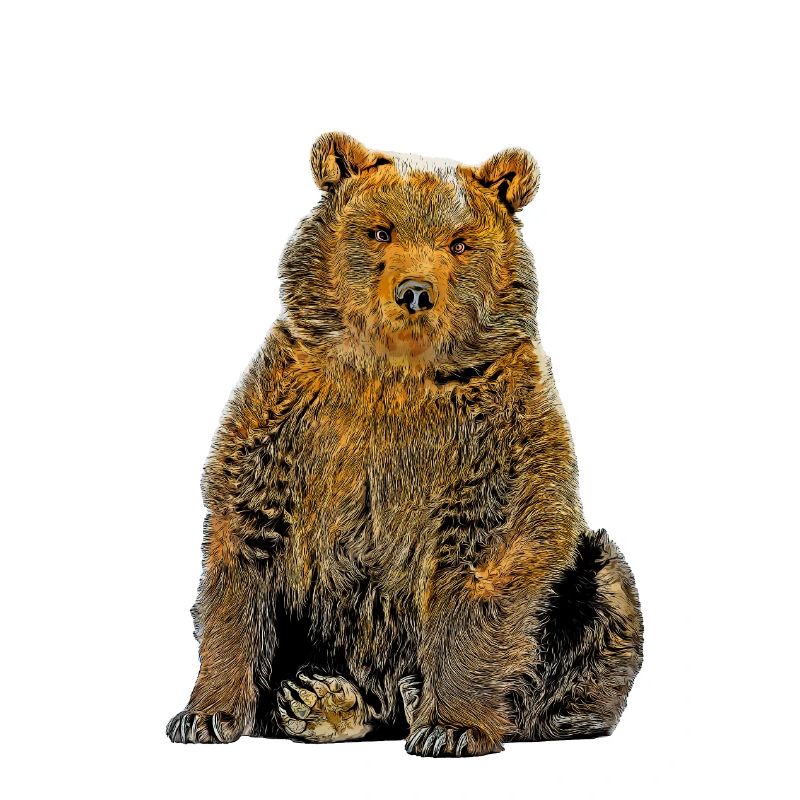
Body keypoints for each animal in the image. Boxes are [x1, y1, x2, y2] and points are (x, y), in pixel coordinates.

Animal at [166, 132, 644, 756]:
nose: (415, 292)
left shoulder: (496, 431)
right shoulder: (291, 417)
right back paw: (320, 699)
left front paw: (453, 725)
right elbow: (243, 550)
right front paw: (204, 716)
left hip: (584, 589)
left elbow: (488, 555)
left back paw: (422, 699)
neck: (394, 371)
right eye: (381, 231)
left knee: (601, 596)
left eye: (459, 243)